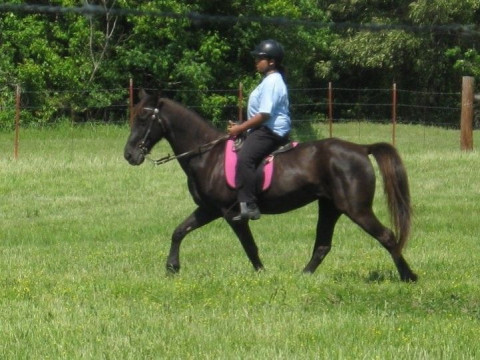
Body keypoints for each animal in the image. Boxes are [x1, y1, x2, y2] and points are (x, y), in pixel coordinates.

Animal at [124, 90, 416, 282]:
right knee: (323, 246)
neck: (207, 155)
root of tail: (361, 149)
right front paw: (172, 267)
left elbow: (249, 246)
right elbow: (179, 231)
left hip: (356, 208)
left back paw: (408, 276)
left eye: (143, 120)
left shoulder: (231, 213)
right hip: (330, 207)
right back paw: (303, 276)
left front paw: (262, 273)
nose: (129, 155)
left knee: (387, 236)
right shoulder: (209, 209)